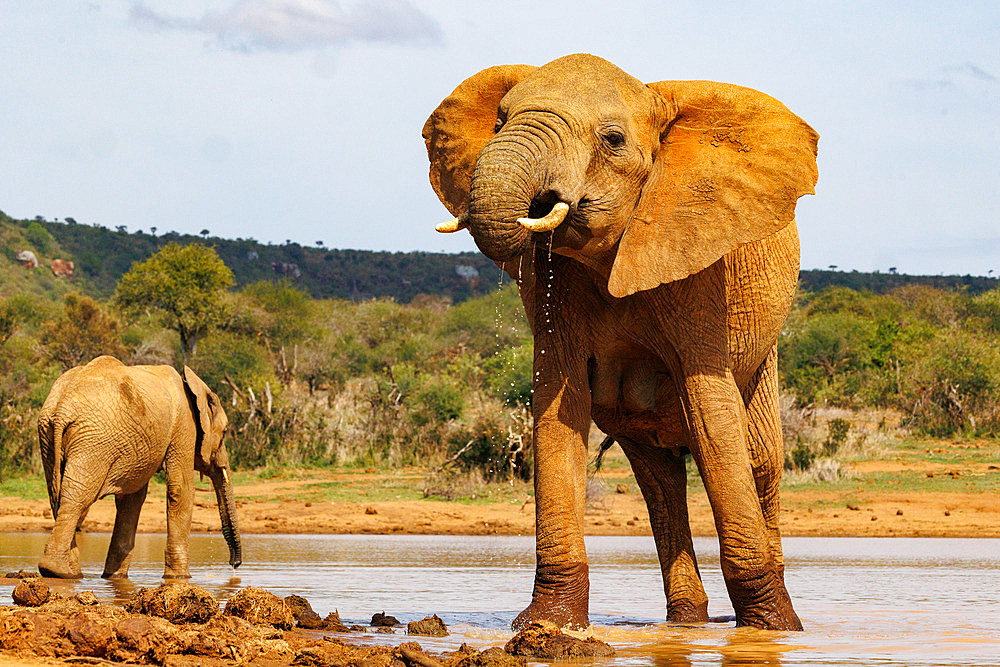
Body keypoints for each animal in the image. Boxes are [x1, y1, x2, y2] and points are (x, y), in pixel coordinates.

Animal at [35, 354, 242, 580]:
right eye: (225, 432)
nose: (234, 564)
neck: (195, 386)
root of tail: (62, 409)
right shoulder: (184, 426)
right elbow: (181, 490)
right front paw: (180, 579)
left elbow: (131, 499)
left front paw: (114, 577)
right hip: (92, 441)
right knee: (77, 498)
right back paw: (59, 572)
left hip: (49, 436)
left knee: (57, 496)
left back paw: (69, 573)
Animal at [424, 53, 820, 632]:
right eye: (498, 123)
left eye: (612, 140)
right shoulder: (554, 286)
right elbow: (559, 409)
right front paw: (548, 624)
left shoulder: (699, 268)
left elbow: (712, 415)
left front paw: (774, 631)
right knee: (659, 481)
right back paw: (686, 623)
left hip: (765, 358)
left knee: (760, 461)